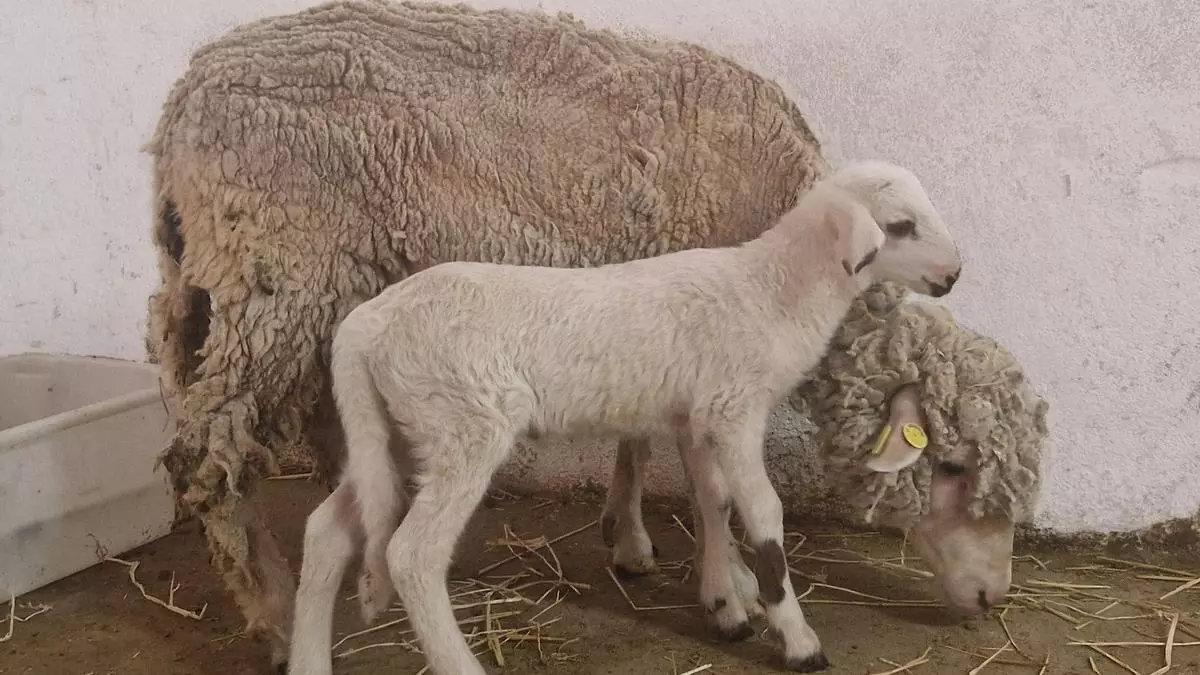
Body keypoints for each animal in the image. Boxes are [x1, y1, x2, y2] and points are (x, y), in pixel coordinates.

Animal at [142, 0, 825, 662]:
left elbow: (638, 440)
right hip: (279, 277)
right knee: (207, 455)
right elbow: (706, 479)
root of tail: (183, 100)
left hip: (238, 290)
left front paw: (633, 540)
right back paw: (275, 614)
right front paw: (730, 588)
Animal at [290, 159, 964, 667]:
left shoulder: (697, 415)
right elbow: (764, 515)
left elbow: (713, 502)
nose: (954, 275)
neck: (772, 290)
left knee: (327, 531)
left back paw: (309, 658)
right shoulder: (734, 408)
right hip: (463, 422)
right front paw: (795, 637)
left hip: (397, 430)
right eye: (900, 225)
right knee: (412, 554)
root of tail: (365, 326)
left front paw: (726, 601)